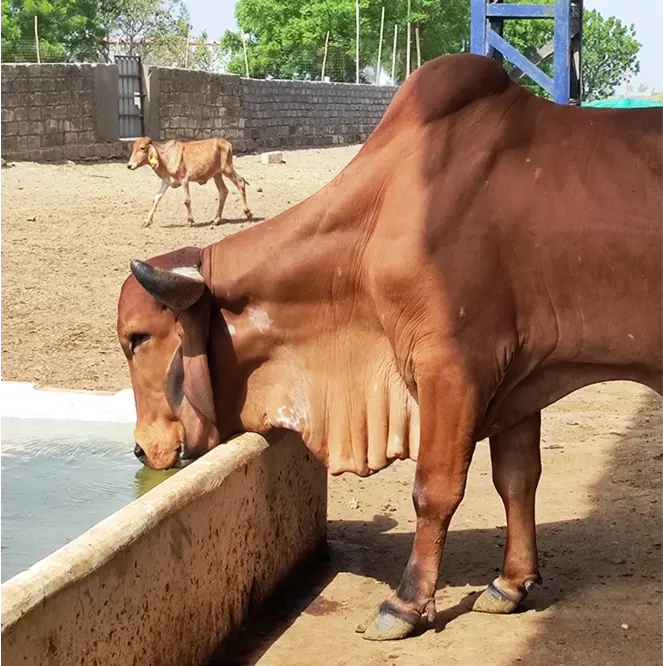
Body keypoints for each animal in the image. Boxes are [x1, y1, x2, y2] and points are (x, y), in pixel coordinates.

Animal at [117, 52, 663, 641]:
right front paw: (510, 583)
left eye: (137, 338)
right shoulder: (519, 379)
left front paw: (405, 603)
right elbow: (516, 479)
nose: (141, 448)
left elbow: (434, 490)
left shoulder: (455, 368)